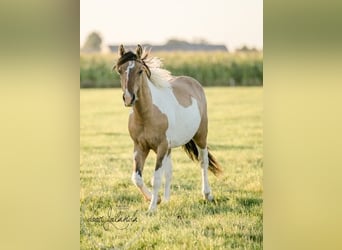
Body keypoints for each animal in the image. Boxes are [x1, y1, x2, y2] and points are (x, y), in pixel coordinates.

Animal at [113, 44, 223, 211]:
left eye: (140, 71)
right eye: (120, 70)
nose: (128, 98)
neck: (148, 114)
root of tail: (194, 83)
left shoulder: (161, 146)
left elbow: (156, 178)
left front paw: (152, 208)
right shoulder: (140, 147)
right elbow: (137, 178)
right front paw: (157, 200)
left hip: (200, 135)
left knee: (203, 161)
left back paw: (207, 195)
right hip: (169, 148)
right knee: (170, 171)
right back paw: (166, 200)